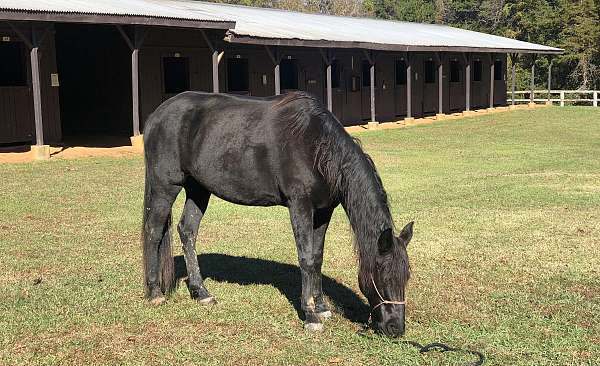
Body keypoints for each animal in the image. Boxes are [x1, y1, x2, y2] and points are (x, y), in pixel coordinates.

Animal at [142, 91, 412, 338]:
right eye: (382, 274)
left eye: (406, 276)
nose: (396, 328)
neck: (316, 146)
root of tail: (156, 115)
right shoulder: (300, 206)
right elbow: (306, 258)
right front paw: (311, 315)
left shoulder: (323, 212)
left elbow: (317, 257)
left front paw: (321, 307)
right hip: (165, 187)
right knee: (154, 232)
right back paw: (155, 293)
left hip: (198, 189)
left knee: (187, 231)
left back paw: (201, 293)